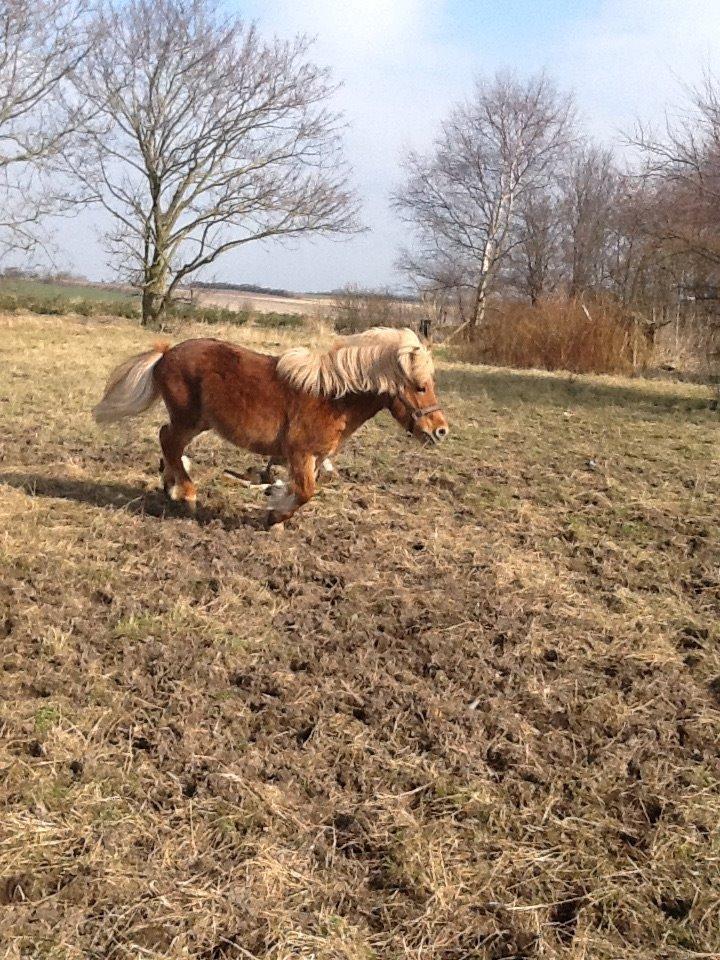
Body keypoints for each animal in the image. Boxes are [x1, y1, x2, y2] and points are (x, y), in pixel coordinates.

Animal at [93, 328, 448, 524]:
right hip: (188, 418)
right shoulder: (300, 453)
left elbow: (298, 488)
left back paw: (171, 487)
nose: (440, 431)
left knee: (169, 443)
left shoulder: (313, 458)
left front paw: (275, 505)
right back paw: (188, 494)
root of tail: (166, 353)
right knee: (169, 441)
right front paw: (275, 515)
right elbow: (305, 492)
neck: (332, 397)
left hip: (198, 422)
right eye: (421, 387)